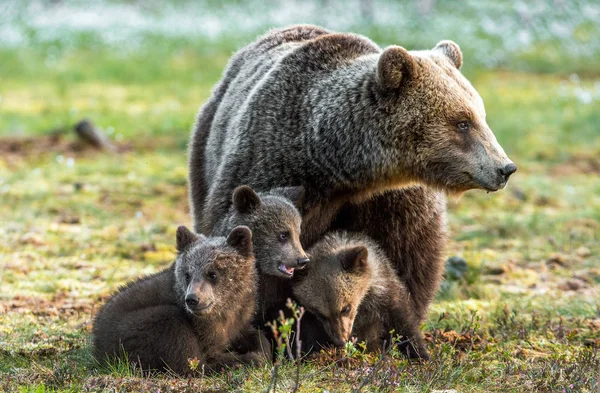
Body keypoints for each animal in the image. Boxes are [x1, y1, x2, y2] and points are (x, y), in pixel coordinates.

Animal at [189, 25, 516, 346]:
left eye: (481, 115)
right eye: (463, 122)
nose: (505, 168)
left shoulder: (395, 200)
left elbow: (408, 258)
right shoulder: (270, 166)